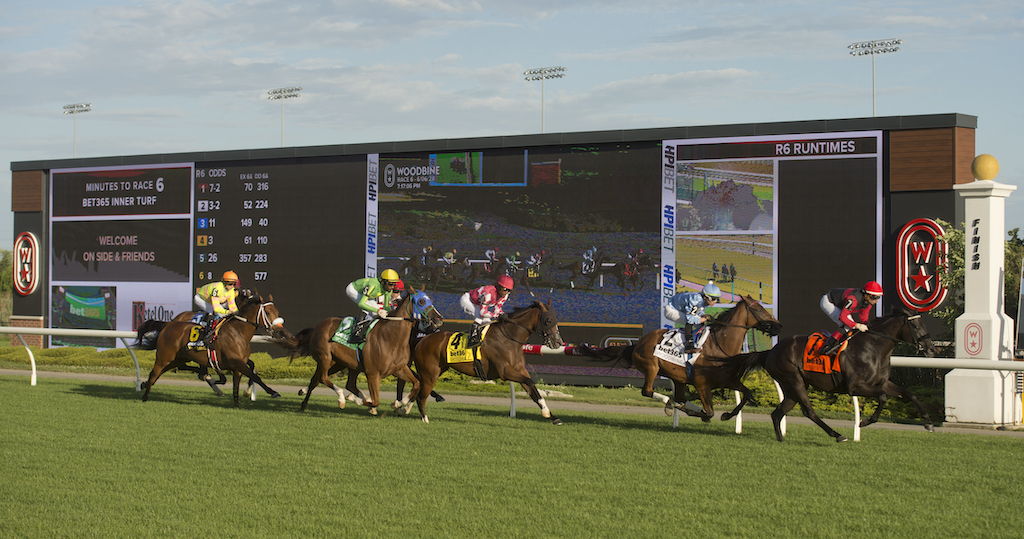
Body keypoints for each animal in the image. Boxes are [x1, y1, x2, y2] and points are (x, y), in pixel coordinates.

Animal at [136, 295, 288, 405]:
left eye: (277, 312)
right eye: (267, 312)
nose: (279, 331)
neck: (238, 332)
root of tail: (167, 325)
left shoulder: (238, 365)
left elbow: (239, 383)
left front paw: (237, 403)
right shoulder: (236, 362)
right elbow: (255, 376)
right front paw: (273, 392)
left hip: (177, 359)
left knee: (167, 371)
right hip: (164, 357)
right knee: (154, 374)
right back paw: (144, 396)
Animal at [411, 301, 565, 424]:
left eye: (556, 319)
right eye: (548, 320)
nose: (558, 342)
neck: (508, 338)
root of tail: (422, 340)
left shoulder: (519, 371)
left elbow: (533, 390)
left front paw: (551, 415)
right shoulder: (505, 372)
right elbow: (530, 381)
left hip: (436, 370)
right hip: (430, 374)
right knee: (421, 396)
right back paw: (424, 418)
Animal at [589, 295, 778, 422]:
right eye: (759, 309)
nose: (778, 326)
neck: (720, 345)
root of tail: (637, 343)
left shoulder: (728, 380)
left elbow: (748, 394)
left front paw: (726, 415)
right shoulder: (702, 384)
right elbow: (709, 412)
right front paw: (702, 414)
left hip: (678, 378)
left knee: (679, 396)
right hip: (651, 367)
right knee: (648, 391)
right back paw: (670, 403)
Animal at [753, 309, 937, 444]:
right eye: (915, 326)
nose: (931, 349)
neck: (873, 348)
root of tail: (771, 351)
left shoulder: (883, 382)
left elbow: (909, 394)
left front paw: (928, 422)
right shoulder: (855, 387)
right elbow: (883, 397)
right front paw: (863, 422)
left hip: (792, 387)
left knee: (778, 413)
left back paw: (780, 439)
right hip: (794, 380)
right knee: (809, 411)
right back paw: (838, 435)